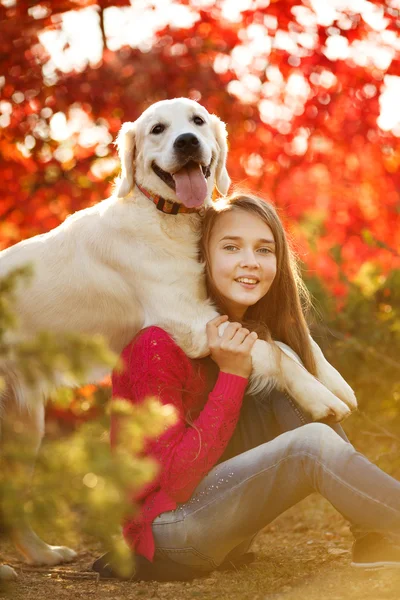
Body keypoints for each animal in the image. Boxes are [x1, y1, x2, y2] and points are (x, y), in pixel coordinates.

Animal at [0, 97, 356, 576]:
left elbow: (290, 344)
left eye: (197, 121)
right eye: (157, 129)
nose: (186, 142)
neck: (164, 217)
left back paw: (41, 553)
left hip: (25, 424)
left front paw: (334, 381)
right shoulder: (186, 319)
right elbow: (273, 351)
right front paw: (321, 398)